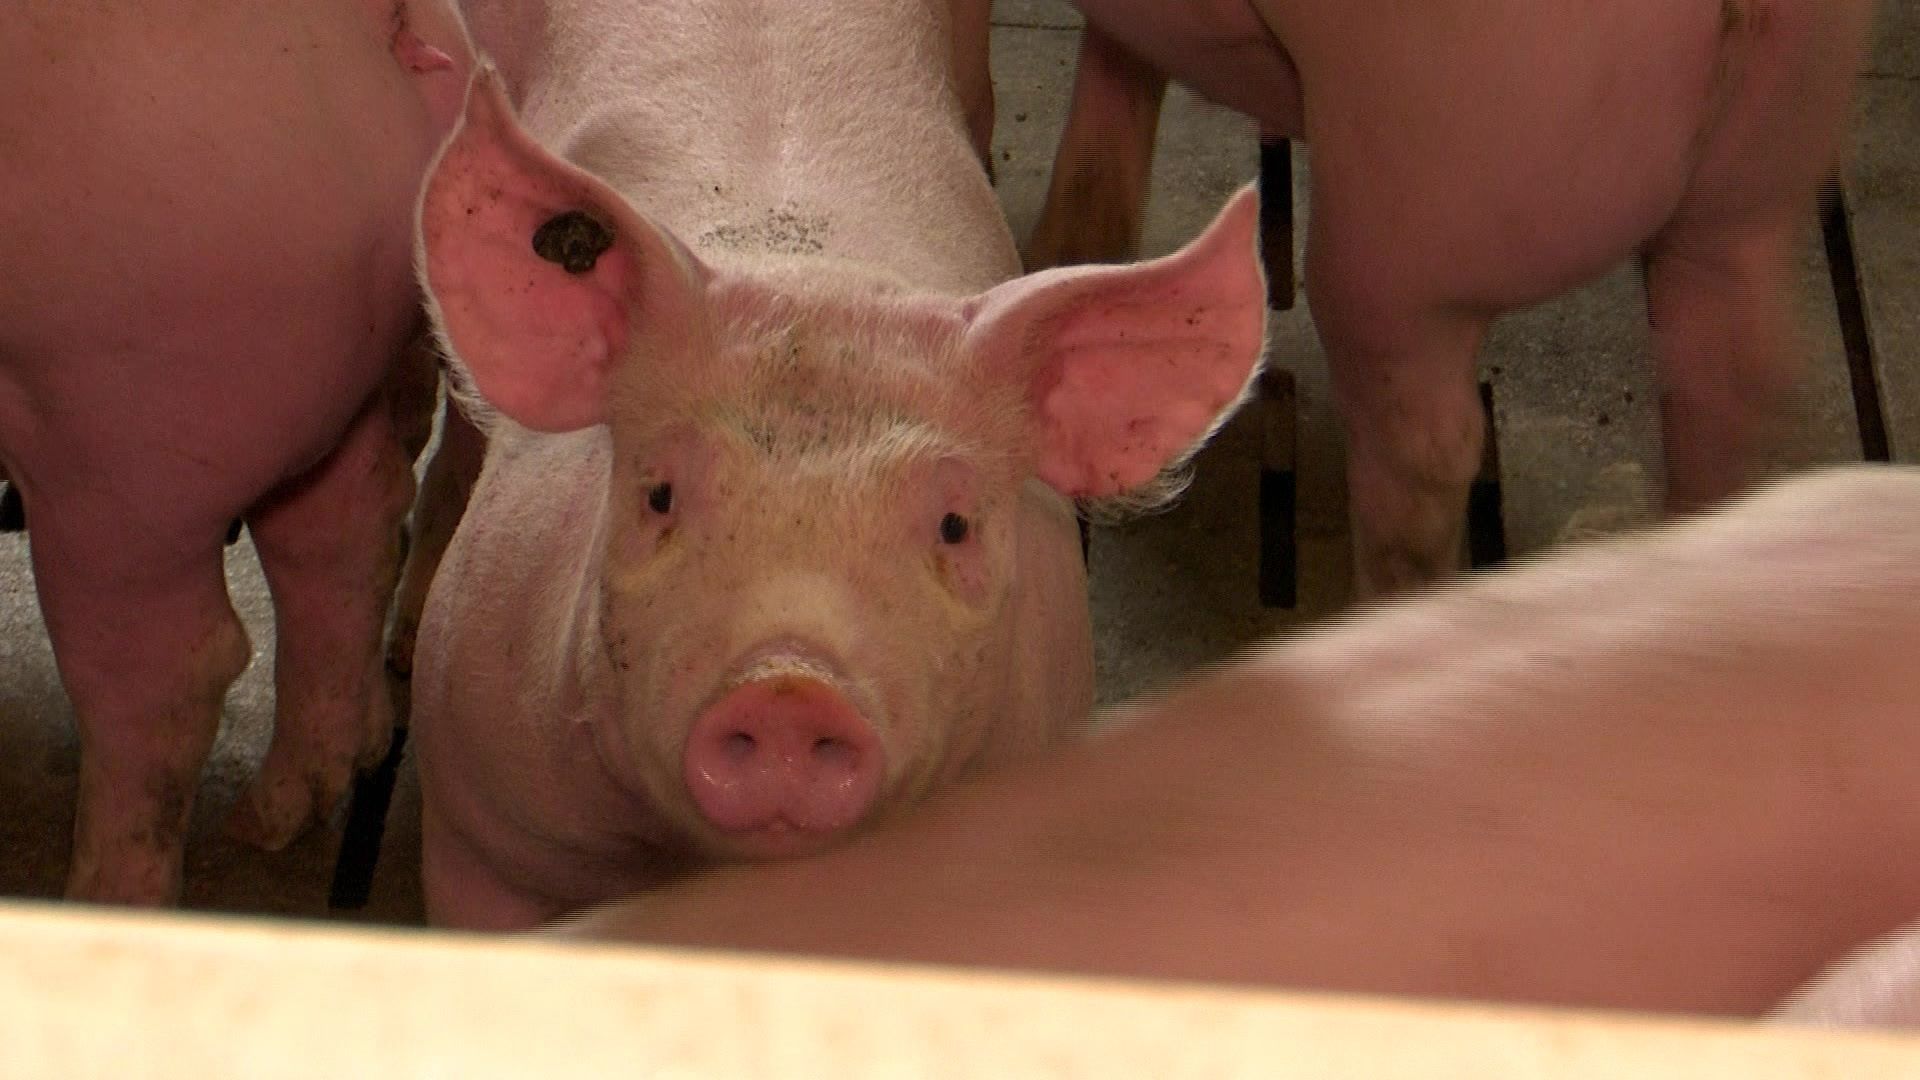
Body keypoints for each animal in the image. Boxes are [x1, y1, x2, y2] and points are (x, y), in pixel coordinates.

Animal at [0, 1, 475, 904]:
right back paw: (278, 815)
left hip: (122, 436)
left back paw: (108, 897)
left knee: (167, 675)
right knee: (350, 529)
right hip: (323, 389)